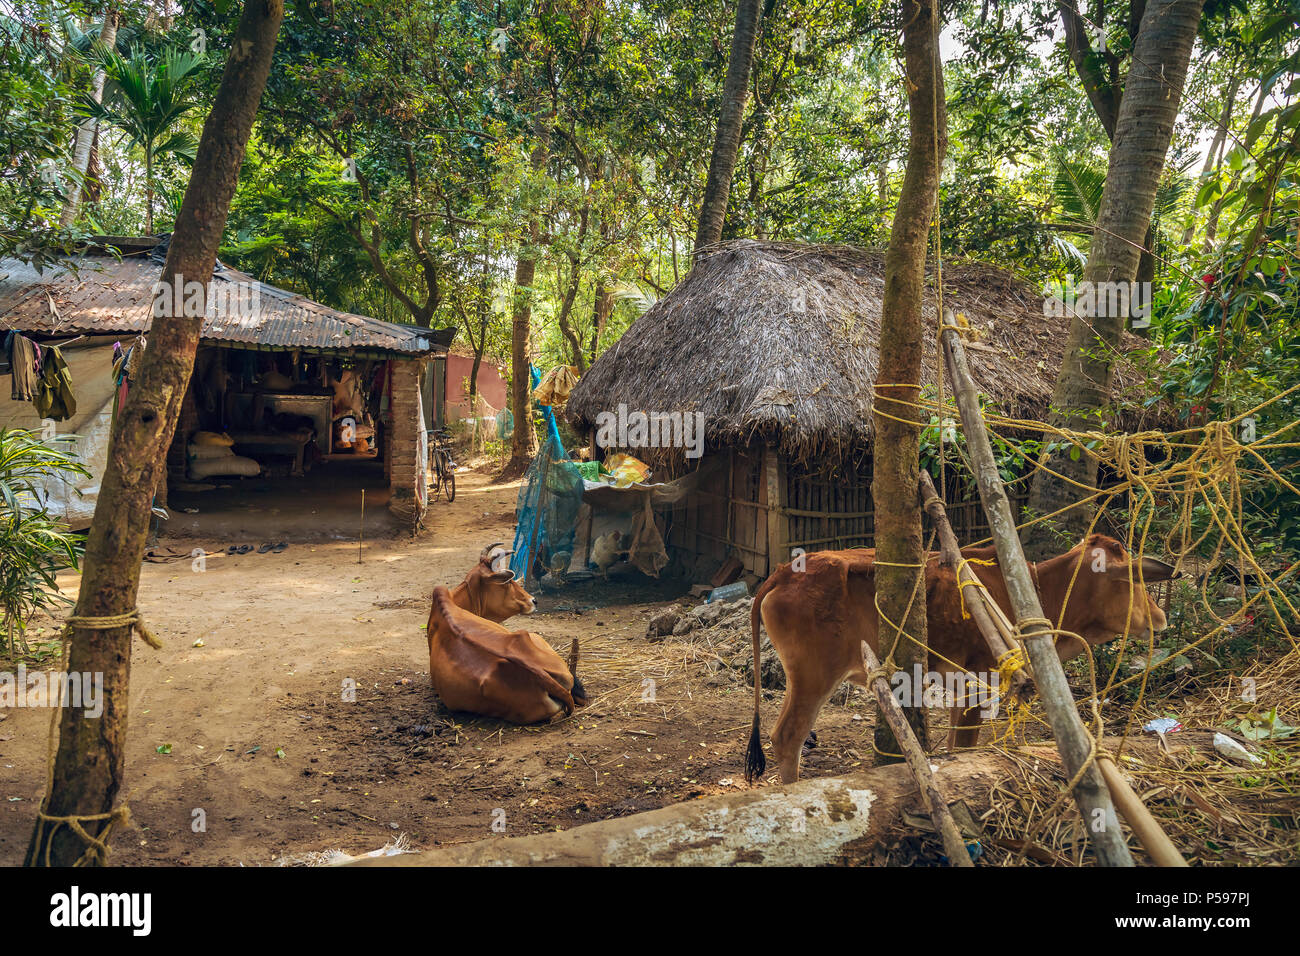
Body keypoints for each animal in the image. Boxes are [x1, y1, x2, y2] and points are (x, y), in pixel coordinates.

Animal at [743, 535, 1180, 780]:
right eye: (1137, 581)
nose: (1161, 618)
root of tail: (783, 571)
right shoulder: (982, 679)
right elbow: (967, 746)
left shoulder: (960, 684)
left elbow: (956, 745)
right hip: (814, 676)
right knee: (787, 737)